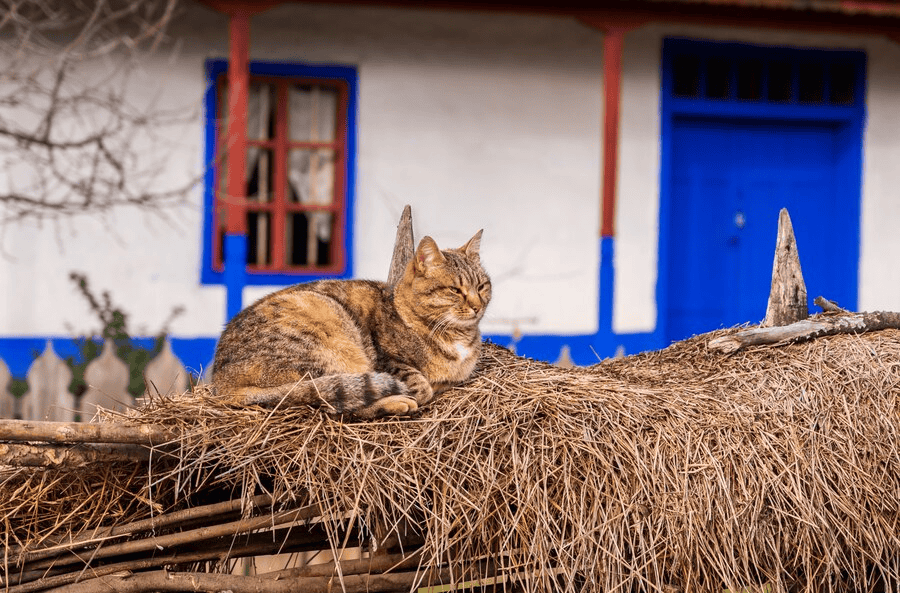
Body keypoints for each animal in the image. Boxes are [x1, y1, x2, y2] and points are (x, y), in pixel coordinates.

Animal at [211, 229, 492, 418]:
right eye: (455, 290)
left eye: (481, 286)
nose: (477, 305)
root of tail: (220, 382)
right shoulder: (386, 362)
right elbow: (419, 384)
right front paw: (423, 389)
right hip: (329, 340)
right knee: (334, 401)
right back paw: (396, 402)